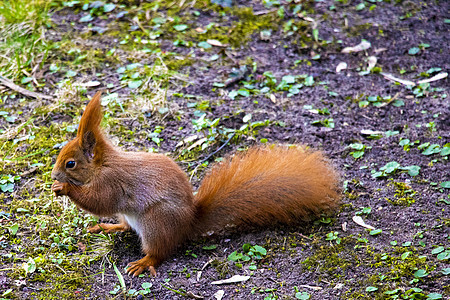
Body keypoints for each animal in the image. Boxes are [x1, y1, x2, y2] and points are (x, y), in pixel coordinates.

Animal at [51, 91, 340, 276]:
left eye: (70, 164)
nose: (53, 176)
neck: (102, 165)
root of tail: (189, 223)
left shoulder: (112, 183)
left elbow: (99, 202)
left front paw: (65, 189)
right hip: (135, 218)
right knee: (124, 225)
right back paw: (107, 226)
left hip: (156, 222)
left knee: (160, 251)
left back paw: (143, 262)